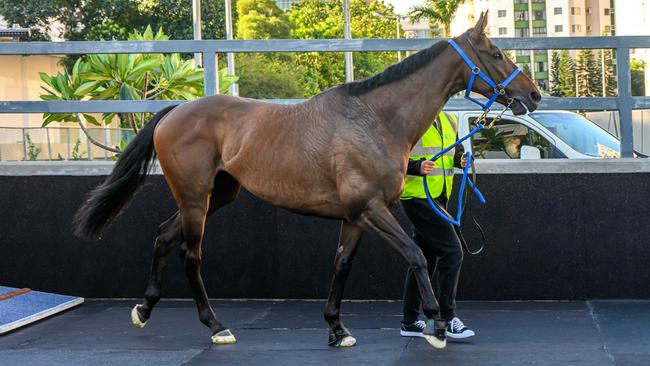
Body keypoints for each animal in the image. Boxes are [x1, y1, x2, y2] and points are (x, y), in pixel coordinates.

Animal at [72, 12, 536, 348]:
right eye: (496, 53)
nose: (532, 95)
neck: (374, 121)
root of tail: (174, 111)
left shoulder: (355, 218)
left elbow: (341, 266)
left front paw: (336, 329)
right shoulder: (371, 210)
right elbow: (416, 255)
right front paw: (437, 325)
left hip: (216, 196)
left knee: (164, 236)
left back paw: (144, 309)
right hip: (195, 200)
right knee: (190, 254)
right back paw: (216, 326)